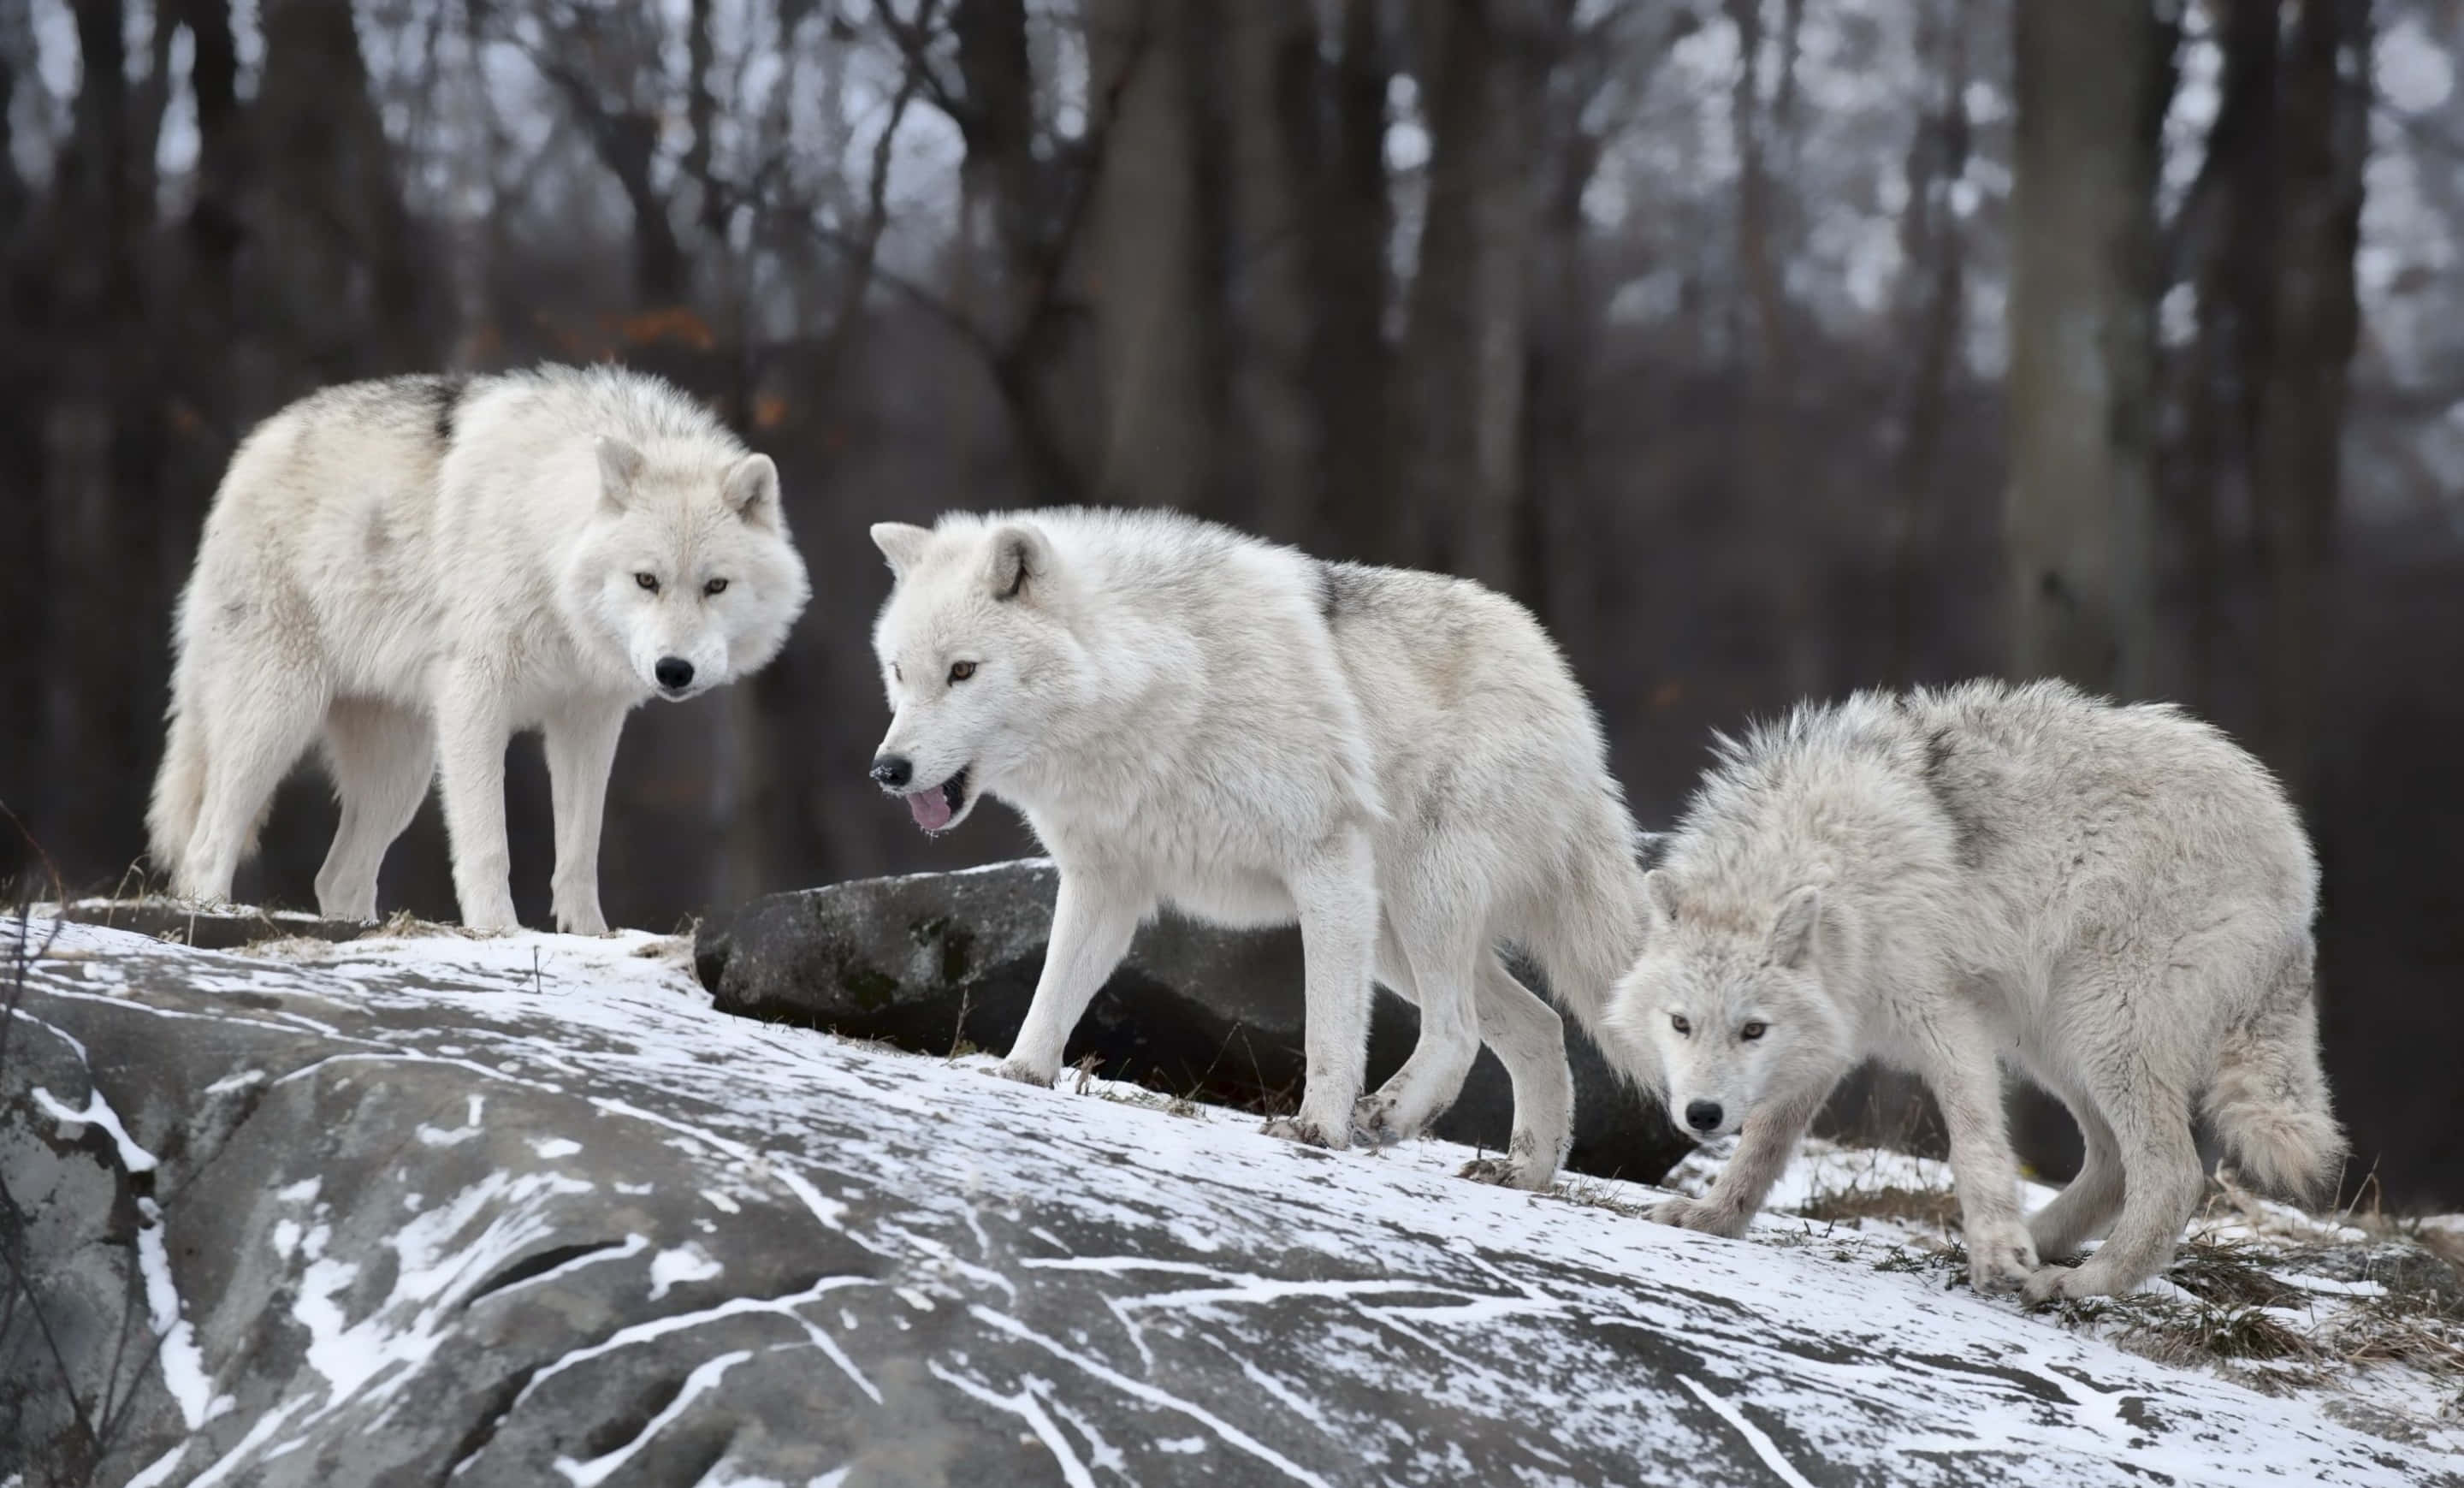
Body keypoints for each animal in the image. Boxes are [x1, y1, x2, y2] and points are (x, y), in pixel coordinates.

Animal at [148, 365, 810, 934]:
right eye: (646, 580)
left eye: (716, 585)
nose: (674, 671)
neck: (545, 542)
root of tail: (254, 446)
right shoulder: (476, 699)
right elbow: (489, 843)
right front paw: (498, 930)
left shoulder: (588, 720)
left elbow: (579, 850)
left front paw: (589, 935)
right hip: (279, 718)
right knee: (206, 846)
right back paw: (212, 913)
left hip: (401, 771)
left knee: (336, 877)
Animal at [864, 508, 1646, 1186]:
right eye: (900, 671)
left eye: (963, 670)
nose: (887, 769)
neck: (1161, 687)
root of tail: (1562, 684)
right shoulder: (1103, 884)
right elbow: (1053, 995)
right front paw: (1020, 1077)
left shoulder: (1325, 863)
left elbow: (1329, 1029)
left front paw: (1317, 1130)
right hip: (1393, 933)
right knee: (1540, 1025)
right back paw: (1524, 1173)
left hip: (1418, 903)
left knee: (1458, 1029)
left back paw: (1389, 1117)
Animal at [1604, 680, 2342, 1299]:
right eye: (1681, 1024)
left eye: (1751, 1029)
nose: (1701, 1114)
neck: (1837, 867)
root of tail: (2296, 855)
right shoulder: (1832, 1034)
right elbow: (1763, 1143)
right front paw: (1713, 1216)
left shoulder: (1945, 1018)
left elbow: (1976, 1143)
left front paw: (1996, 1249)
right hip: (2054, 1039)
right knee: (2111, 1166)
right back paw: (2034, 1246)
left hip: (2101, 1029)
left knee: (2172, 1176)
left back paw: (2080, 1281)